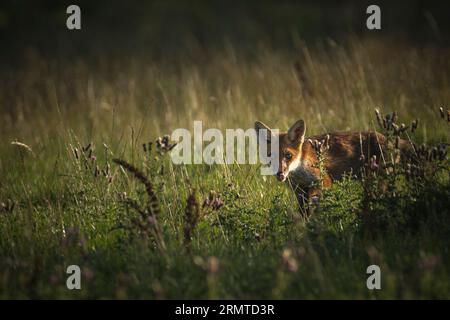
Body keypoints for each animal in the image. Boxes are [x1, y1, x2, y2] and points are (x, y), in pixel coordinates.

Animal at [255, 119, 410, 214]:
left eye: (288, 156)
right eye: (270, 156)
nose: (280, 174)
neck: (299, 171)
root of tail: (390, 140)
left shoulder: (323, 181)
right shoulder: (300, 192)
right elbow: (304, 215)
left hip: (379, 181)